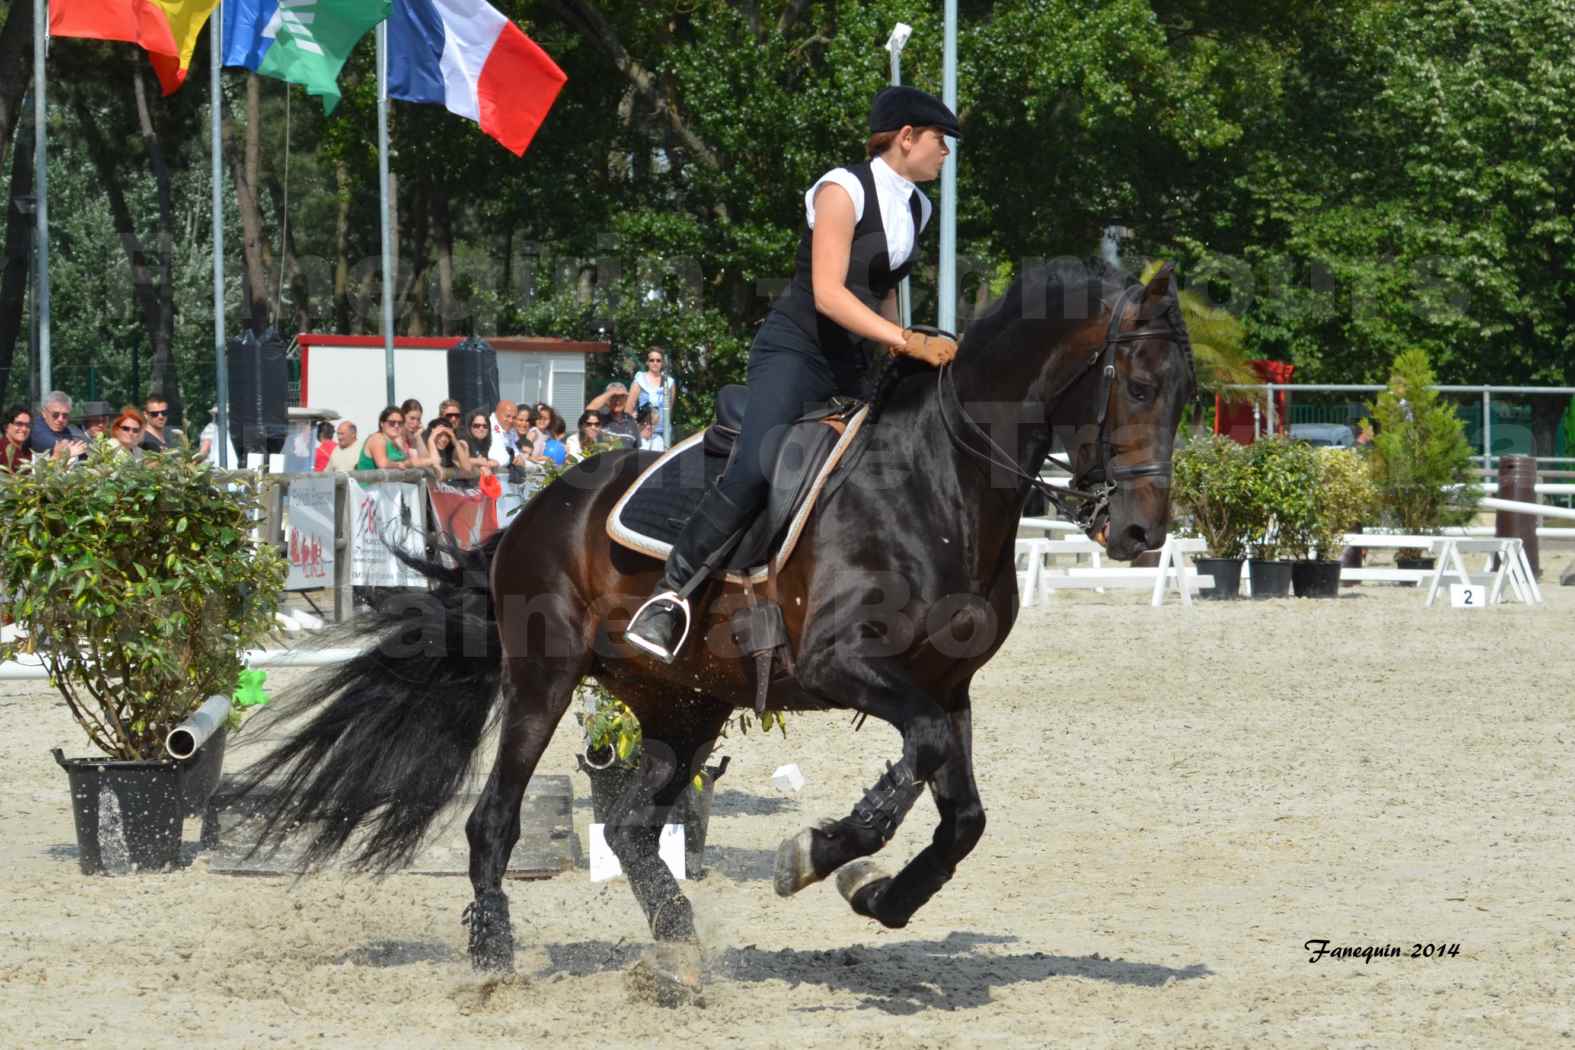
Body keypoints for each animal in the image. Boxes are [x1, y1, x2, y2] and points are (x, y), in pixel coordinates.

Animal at [229, 261, 1190, 976]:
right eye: (1140, 386)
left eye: (1181, 392)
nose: (1141, 533)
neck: (940, 481)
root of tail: (538, 509)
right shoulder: (844, 664)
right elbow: (913, 762)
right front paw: (817, 853)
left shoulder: (947, 688)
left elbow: (961, 816)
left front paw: (877, 895)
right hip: (544, 680)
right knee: (494, 818)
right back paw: (495, 955)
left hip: (682, 702)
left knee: (630, 827)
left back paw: (679, 949)